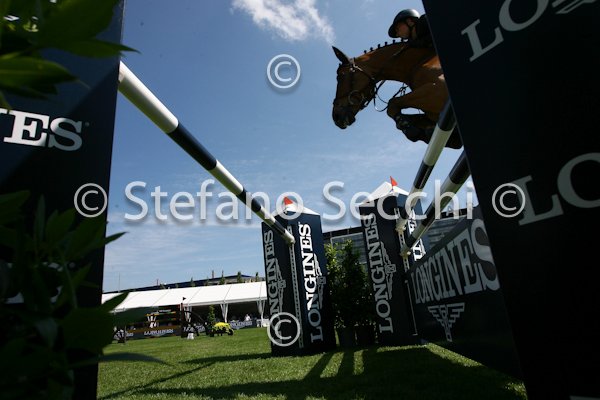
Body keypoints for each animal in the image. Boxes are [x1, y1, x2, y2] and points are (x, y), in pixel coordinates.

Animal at [331, 42, 462, 149]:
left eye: (341, 76)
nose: (336, 117)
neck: (419, 62)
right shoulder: (433, 111)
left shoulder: (439, 88)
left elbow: (392, 103)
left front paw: (408, 128)